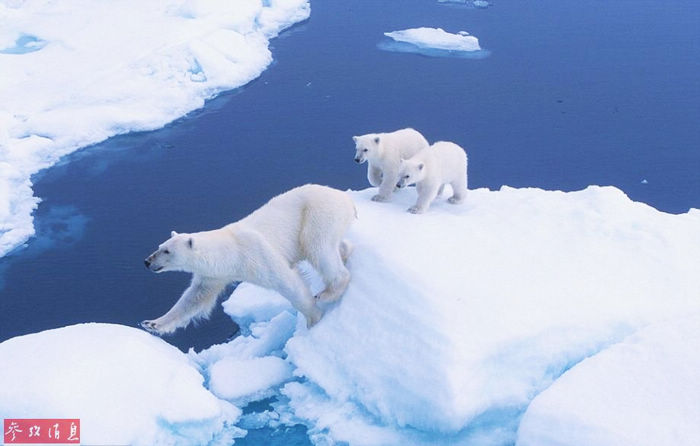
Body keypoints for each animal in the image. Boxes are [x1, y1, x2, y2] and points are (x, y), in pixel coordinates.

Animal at [141, 185, 356, 334]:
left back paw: (328, 293)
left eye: (167, 251)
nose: (147, 261)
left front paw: (313, 318)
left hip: (318, 215)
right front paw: (152, 323)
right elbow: (194, 298)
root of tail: (345, 197)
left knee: (317, 247)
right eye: (159, 246)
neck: (229, 251)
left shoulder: (256, 254)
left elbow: (288, 283)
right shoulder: (213, 276)